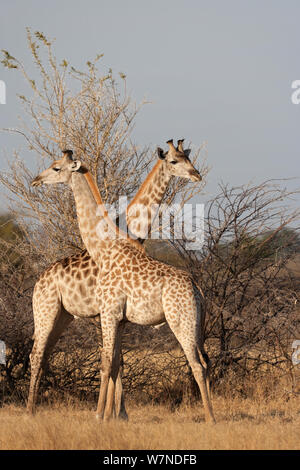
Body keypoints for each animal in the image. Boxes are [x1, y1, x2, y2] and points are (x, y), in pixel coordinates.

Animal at [31, 142, 216, 422]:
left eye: (56, 167)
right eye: (175, 160)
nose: (36, 180)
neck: (106, 247)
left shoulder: (111, 313)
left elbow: (110, 362)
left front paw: (103, 415)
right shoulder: (115, 316)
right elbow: (114, 361)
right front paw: (113, 414)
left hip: (179, 321)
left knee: (197, 363)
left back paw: (210, 418)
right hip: (54, 314)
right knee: (39, 355)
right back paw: (30, 409)